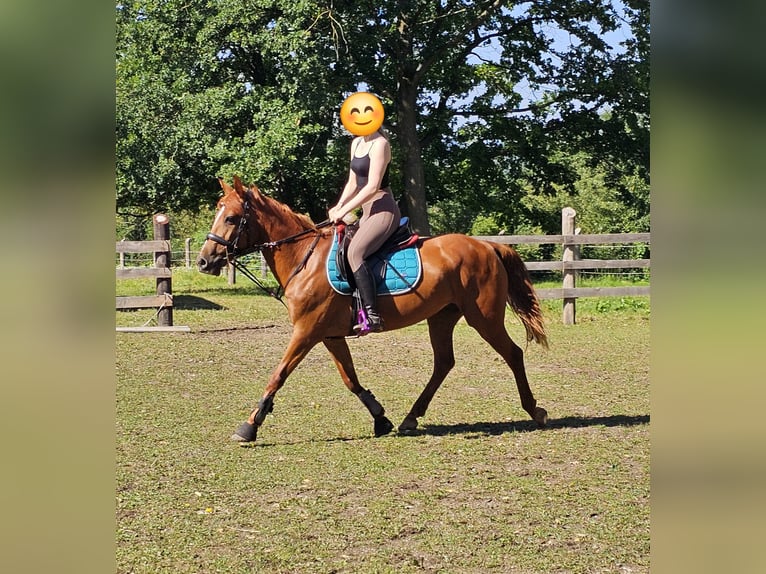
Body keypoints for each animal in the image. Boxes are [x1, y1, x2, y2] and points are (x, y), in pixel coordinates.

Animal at [197, 176, 549, 443]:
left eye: (231, 218)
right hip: (442, 316)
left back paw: (535, 410)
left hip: (484, 318)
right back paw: (410, 418)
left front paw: (249, 426)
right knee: (443, 363)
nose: (203, 261)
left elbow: (278, 375)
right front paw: (381, 419)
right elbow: (350, 379)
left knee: (513, 354)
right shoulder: (329, 335)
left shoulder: (307, 331)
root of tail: (487, 245)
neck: (304, 257)